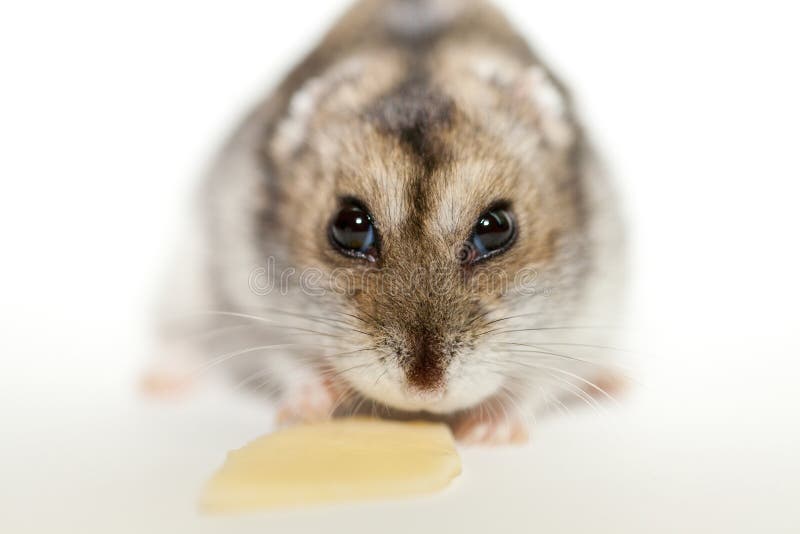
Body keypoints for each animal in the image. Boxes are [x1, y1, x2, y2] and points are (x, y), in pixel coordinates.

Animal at [150, 0, 627, 445]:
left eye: (497, 228)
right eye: (350, 226)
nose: (423, 390)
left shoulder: (589, 316)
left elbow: (539, 382)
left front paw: (486, 432)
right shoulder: (247, 302)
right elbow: (288, 361)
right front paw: (314, 404)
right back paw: (161, 382)